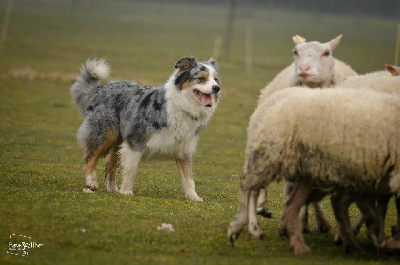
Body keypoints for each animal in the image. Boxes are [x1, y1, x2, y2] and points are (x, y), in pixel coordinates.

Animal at [71, 56, 222, 200]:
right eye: (201, 78)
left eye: (215, 79)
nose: (217, 88)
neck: (181, 106)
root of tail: (101, 88)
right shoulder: (135, 141)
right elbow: (131, 170)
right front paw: (126, 191)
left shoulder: (184, 149)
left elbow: (188, 178)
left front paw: (193, 197)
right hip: (106, 134)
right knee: (90, 157)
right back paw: (91, 183)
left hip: (119, 140)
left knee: (109, 165)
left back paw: (112, 189)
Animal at [228, 85, 400, 254]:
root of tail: (271, 98)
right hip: (271, 153)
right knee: (248, 185)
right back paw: (239, 227)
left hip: (310, 169)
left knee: (289, 202)